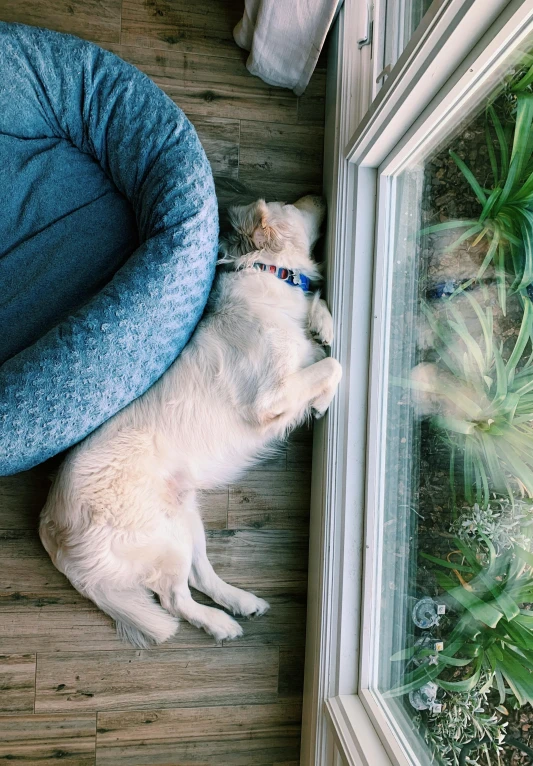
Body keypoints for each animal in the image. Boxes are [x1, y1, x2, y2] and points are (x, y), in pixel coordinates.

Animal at [38, 196, 340, 648]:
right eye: (291, 205)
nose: (320, 196)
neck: (264, 272)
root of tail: (51, 524)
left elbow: (323, 343)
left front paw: (322, 331)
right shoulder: (270, 397)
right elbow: (334, 364)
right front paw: (323, 397)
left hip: (185, 518)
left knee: (202, 576)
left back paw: (241, 603)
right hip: (165, 535)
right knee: (174, 598)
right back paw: (219, 623)